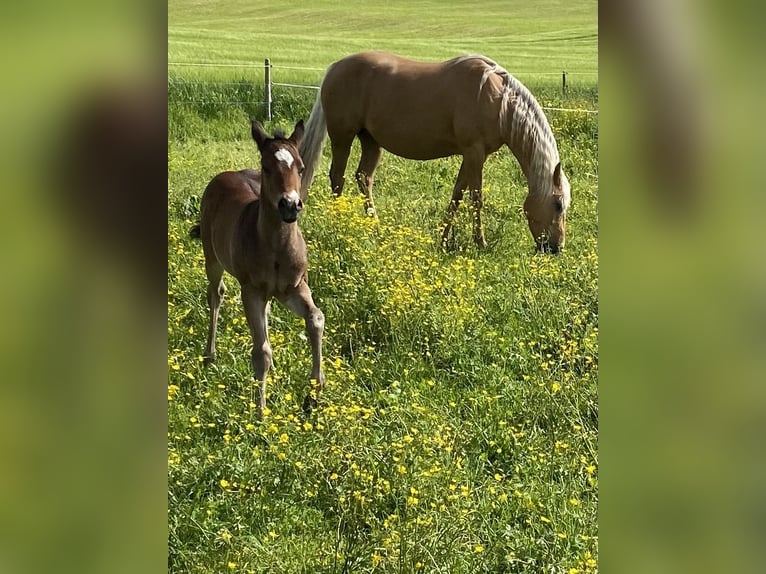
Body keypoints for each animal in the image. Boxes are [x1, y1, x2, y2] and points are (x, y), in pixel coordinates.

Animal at [190, 120, 325, 417]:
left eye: (301, 167)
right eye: (266, 167)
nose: (290, 205)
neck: (275, 247)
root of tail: (225, 175)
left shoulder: (295, 287)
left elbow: (316, 319)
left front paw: (313, 393)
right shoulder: (250, 290)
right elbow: (260, 350)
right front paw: (260, 410)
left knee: (265, 312)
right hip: (212, 257)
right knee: (215, 295)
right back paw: (209, 354)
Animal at [299, 51, 571, 252]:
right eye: (558, 205)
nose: (556, 248)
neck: (497, 100)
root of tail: (335, 67)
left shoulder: (471, 155)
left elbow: (457, 195)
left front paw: (443, 240)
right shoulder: (475, 152)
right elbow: (476, 198)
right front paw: (480, 243)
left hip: (371, 141)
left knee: (364, 177)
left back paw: (374, 228)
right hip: (342, 137)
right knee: (337, 178)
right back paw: (340, 224)